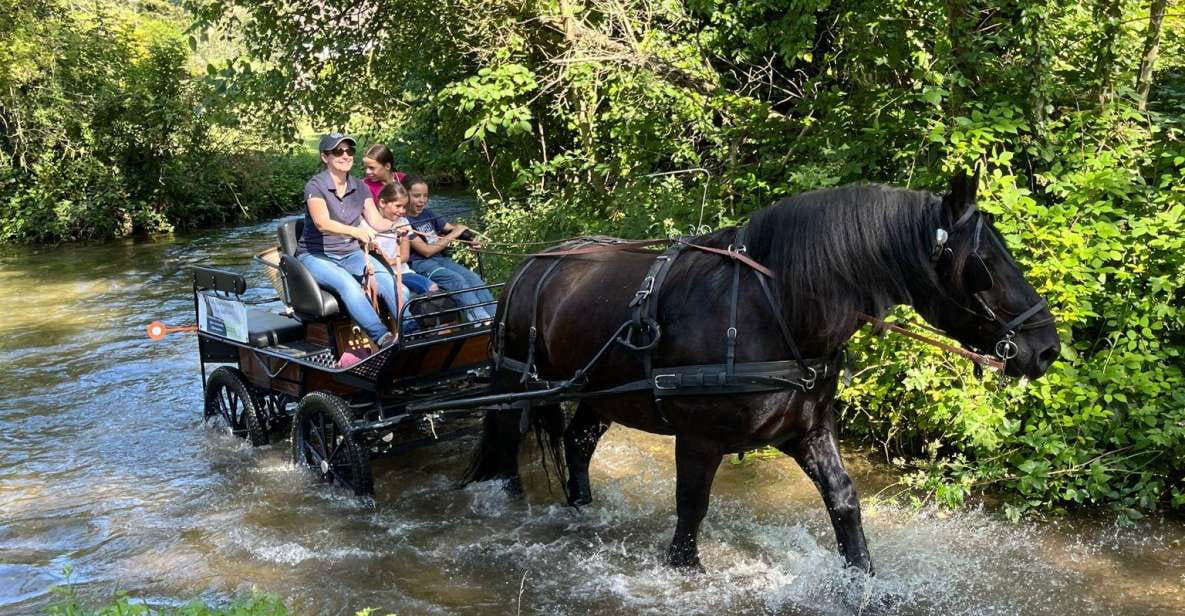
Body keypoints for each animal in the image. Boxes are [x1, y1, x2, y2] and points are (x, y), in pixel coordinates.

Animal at [463, 172, 1059, 573]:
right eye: (985, 265)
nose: (1047, 349)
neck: (776, 309)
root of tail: (530, 263)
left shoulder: (808, 430)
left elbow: (844, 501)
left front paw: (861, 578)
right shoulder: (699, 438)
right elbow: (692, 508)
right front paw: (685, 571)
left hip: (601, 393)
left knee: (578, 443)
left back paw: (582, 509)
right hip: (516, 383)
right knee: (508, 444)